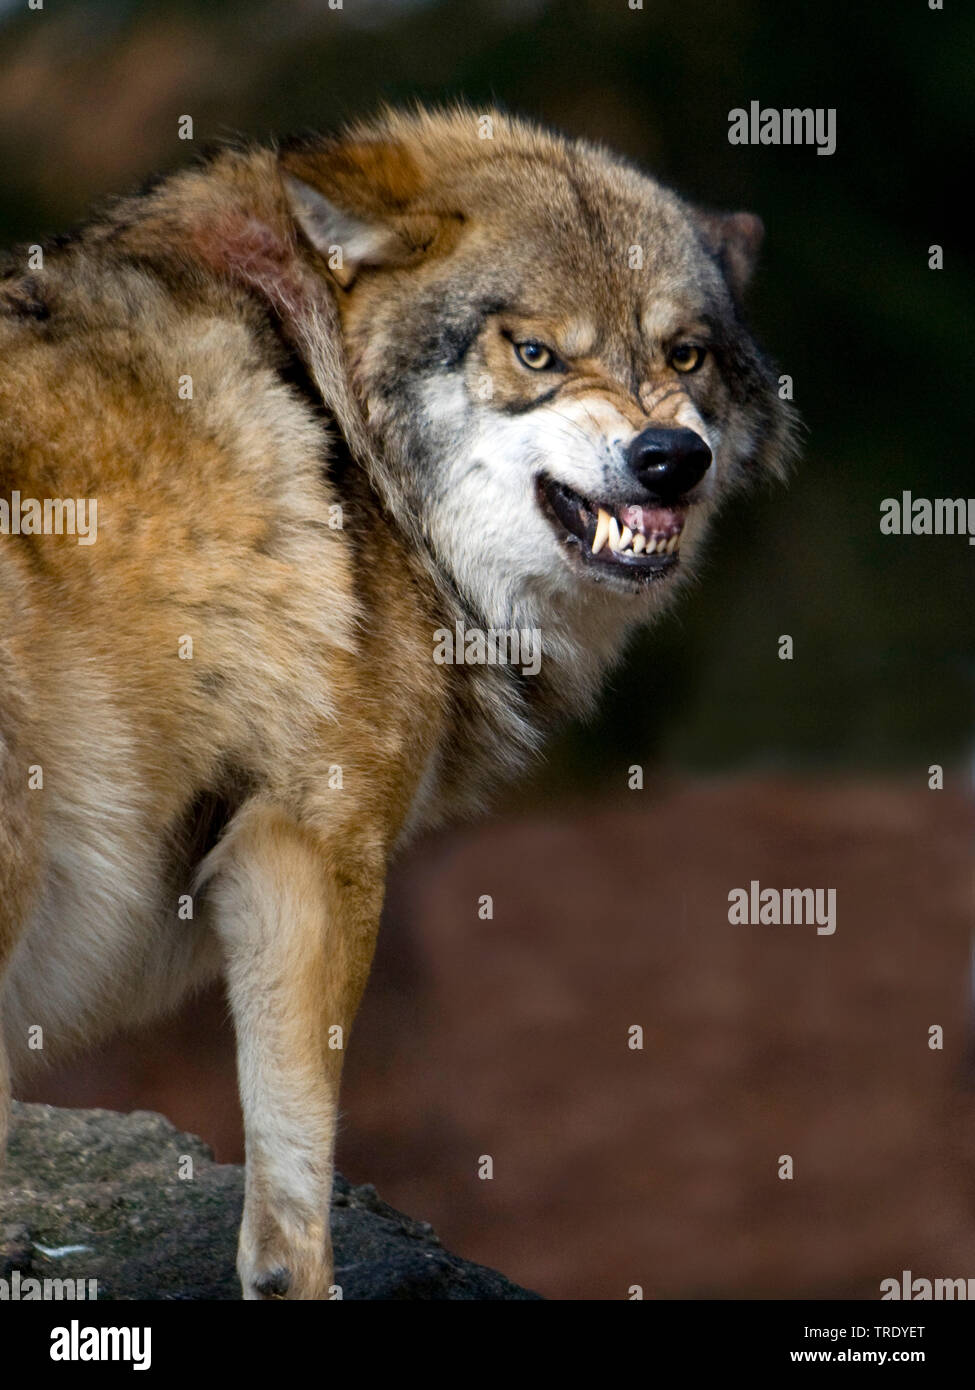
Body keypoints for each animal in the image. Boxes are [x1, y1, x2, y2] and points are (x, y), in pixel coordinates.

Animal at [0, 105, 790, 1289]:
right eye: (536, 352)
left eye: (682, 353)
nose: (670, 458)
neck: (350, 439)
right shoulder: (308, 852)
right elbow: (293, 1208)